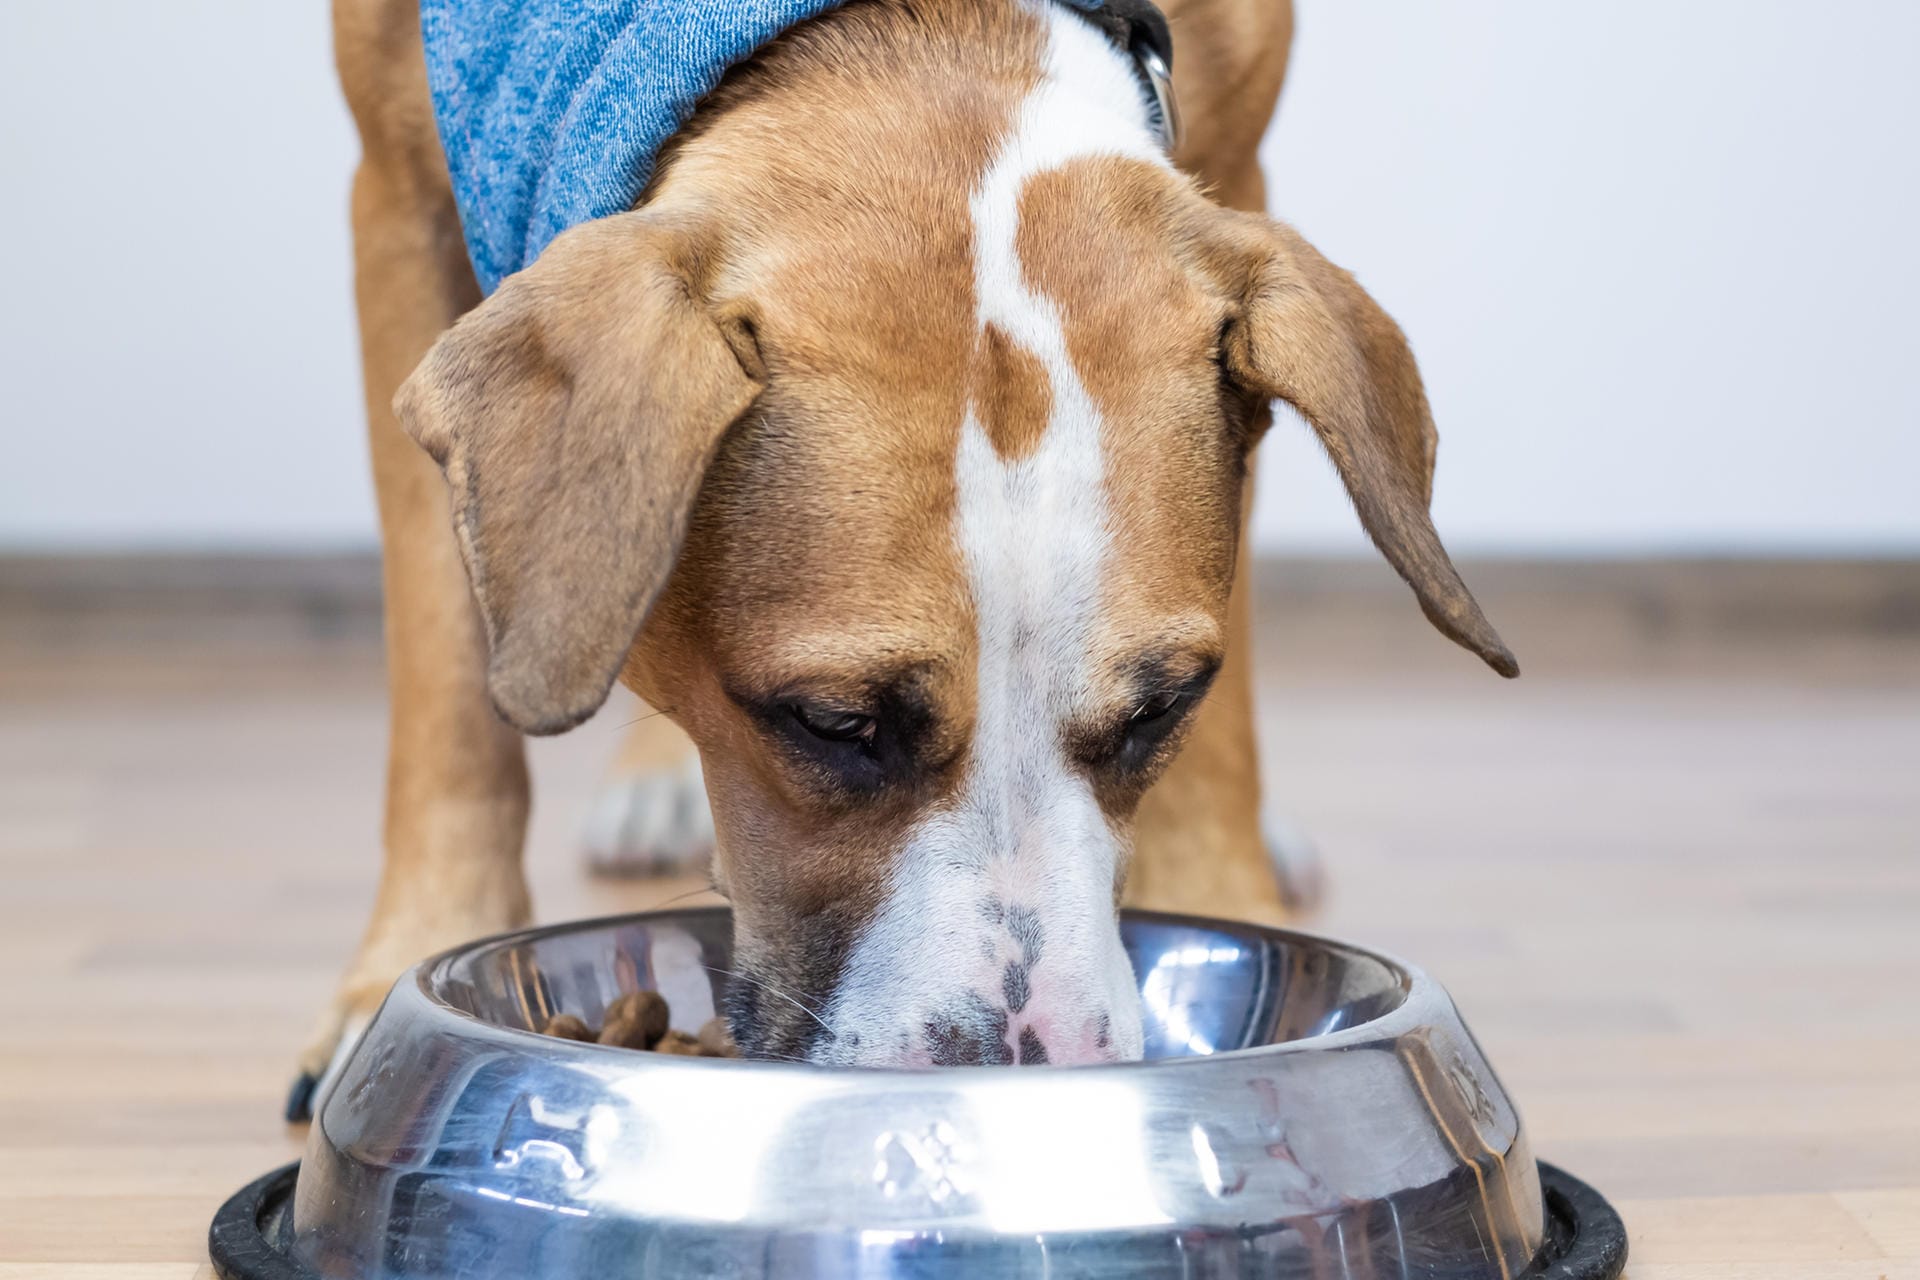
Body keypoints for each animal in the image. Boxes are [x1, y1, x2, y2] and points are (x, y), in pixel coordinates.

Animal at [295, 0, 1512, 1113]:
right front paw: (404, 962)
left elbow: (1227, 731)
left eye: (1161, 709)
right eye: (832, 722)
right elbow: (448, 679)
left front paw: (1232, 892)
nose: (1022, 1074)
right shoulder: (399, 195)